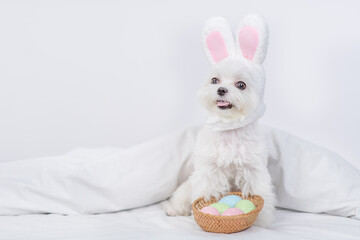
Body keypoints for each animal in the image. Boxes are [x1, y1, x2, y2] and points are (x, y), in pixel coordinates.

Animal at [163, 14, 276, 228]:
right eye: (214, 80)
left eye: (241, 85)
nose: (221, 90)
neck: (229, 129)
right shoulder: (210, 170)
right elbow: (208, 190)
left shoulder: (253, 169)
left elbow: (259, 191)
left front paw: (261, 221)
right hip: (188, 185)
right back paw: (173, 209)